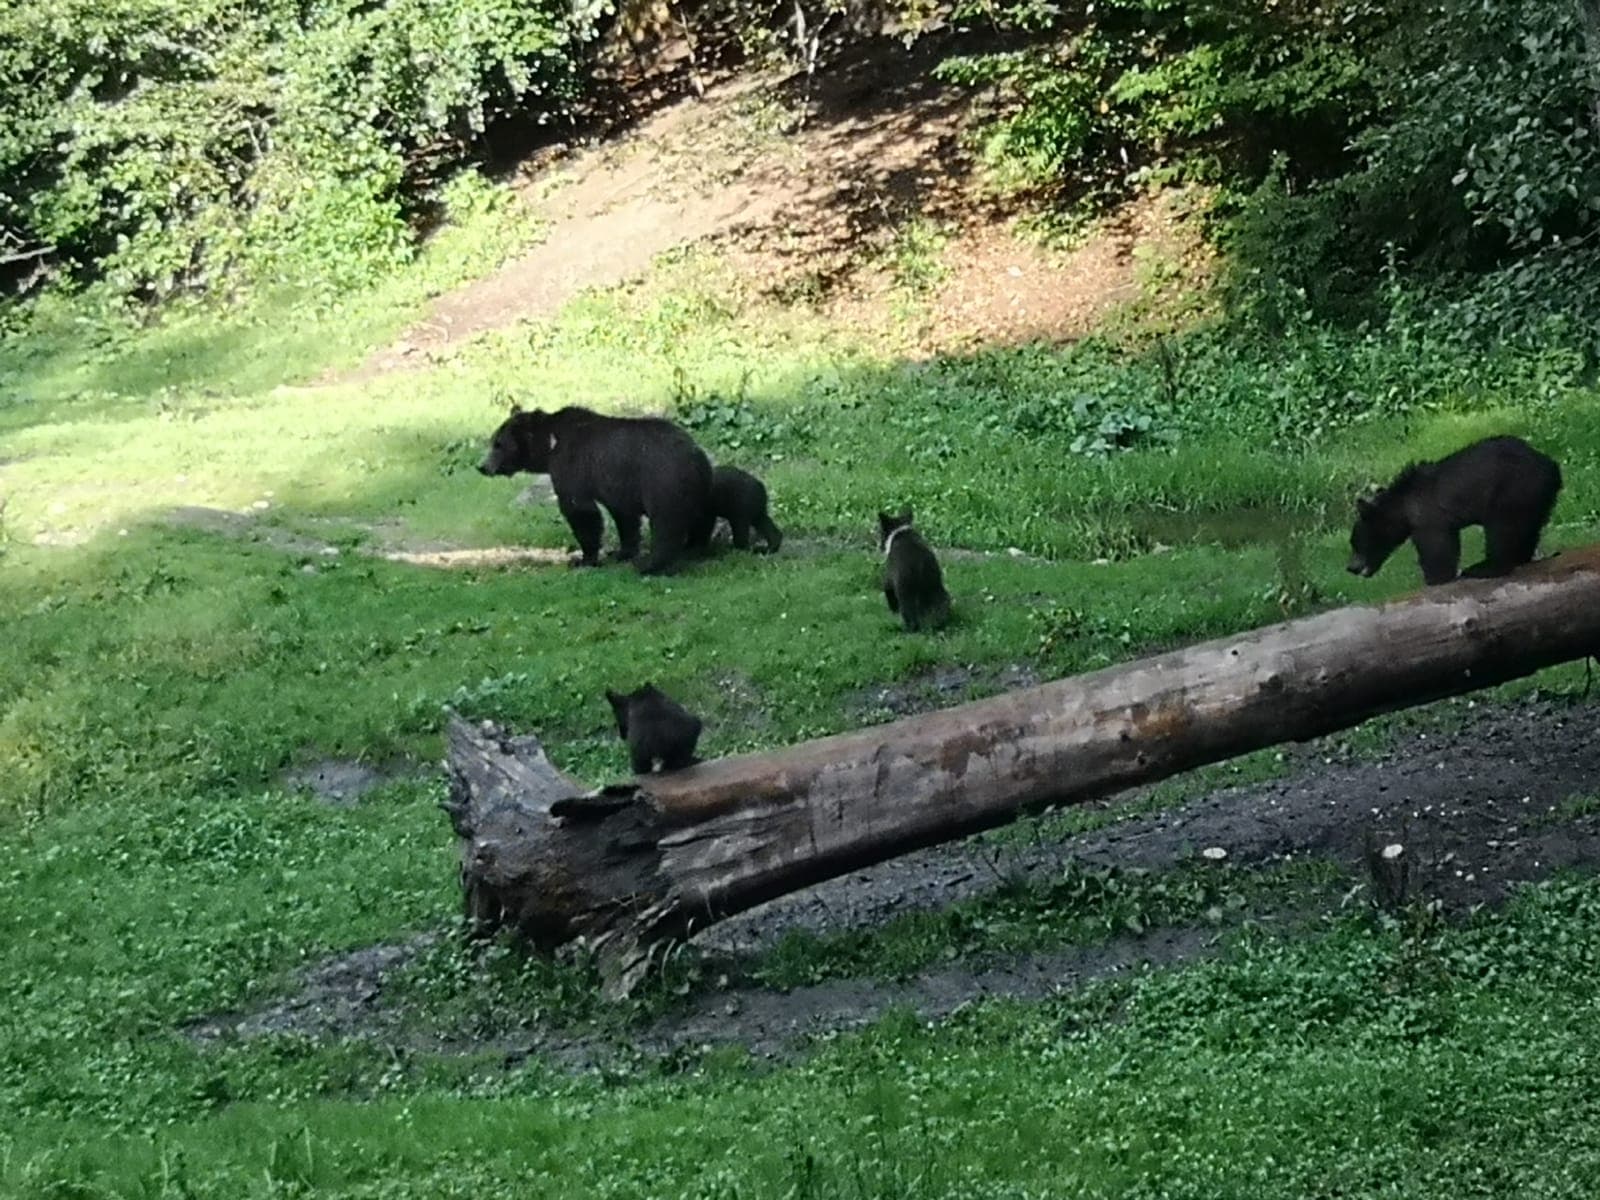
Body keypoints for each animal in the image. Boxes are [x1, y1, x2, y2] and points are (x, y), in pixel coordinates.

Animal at [478, 405, 712, 576]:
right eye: (492, 441)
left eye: (498, 444)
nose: (482, 466)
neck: (550, 447)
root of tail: (695, 456)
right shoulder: (617, 485)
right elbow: (624, 516)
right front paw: (622, 552)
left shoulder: (572, 465)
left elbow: (580, 510)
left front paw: (583, 559)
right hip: (699, 487)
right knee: (700, 518)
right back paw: (695, 547)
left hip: (663, 482)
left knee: (666, 523)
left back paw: (650, 564)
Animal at [1346, 434, 1562, 586]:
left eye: (1356, 542)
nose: (1350, 568)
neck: (1403, 508)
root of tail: (1552, 467)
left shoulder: (1427, 516)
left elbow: (1438, 549)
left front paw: (1435, 577)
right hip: (1535, 498)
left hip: (1512, 490)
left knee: (1502, 529)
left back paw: (1482, 568)